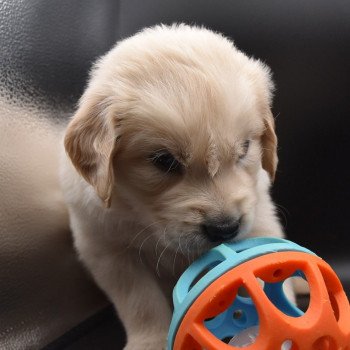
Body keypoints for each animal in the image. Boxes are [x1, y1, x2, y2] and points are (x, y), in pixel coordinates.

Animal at [60, 23, 284, 348]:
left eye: (244, 148)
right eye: (164, 160)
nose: (225, 229)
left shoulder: (261, 221)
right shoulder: (107, 249)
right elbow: (141, 302)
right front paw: (150, 341)